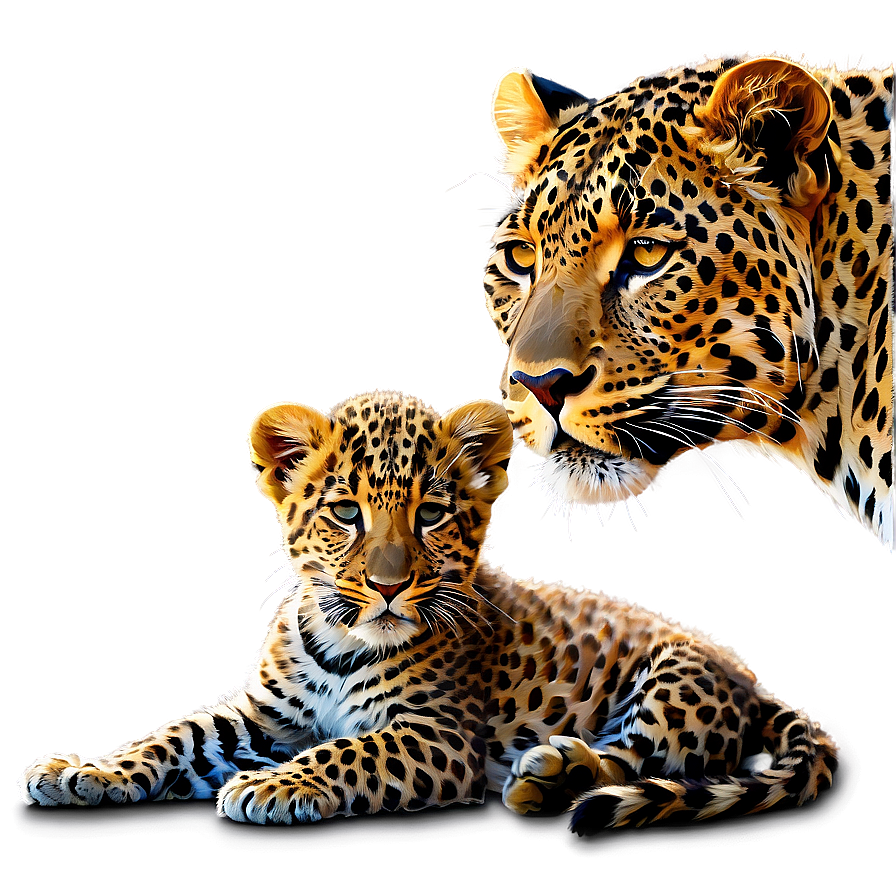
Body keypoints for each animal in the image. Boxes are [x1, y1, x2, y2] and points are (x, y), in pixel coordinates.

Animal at [20, 392, 838, 830]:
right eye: (345, 512)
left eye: (432, 515)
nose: (388, 586)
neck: (337, 638)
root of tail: (750, 681)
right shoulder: (262, 717)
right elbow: (173, 736)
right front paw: (81, 771)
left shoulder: (437, 734)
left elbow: (350, 749)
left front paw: (266, 787)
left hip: (674, 685)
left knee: (636, 762)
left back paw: (550, 775)